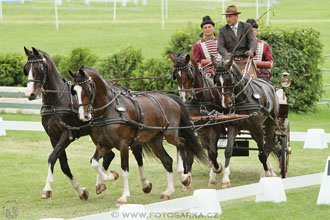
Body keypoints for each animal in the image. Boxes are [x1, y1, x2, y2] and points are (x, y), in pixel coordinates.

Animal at [22, 47, 124, 200]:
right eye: (26, 68)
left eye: (39, 68)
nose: (30, 94)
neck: (56, 101)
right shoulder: (53, 137)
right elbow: (63, 164)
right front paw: (81, 191)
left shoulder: (68, 134)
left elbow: (52, 157)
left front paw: (47, 188)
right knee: (109, 155)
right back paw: (101, 183)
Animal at [71, 66, 208, 206]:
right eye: (74, 91)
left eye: (88, 88)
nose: (84, 115)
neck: (109, 110)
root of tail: (170, 98)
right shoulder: (103, 145)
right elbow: (94, 163)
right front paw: (111, 176)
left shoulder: (123, 145)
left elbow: (124, 170)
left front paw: (124, 196)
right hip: (154, 141)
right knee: (167, 160)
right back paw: (168, 191)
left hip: (170, 134)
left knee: (181, 142)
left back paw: (184, 177)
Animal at [169, 52, 226, 187]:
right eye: (176, 76)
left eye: (188, 74)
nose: (185, 98)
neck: (199, 99)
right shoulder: (191, 126)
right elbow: (189, 154)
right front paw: (188, 177)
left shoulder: (214, 126)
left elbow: (213, 152)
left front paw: (217, 168)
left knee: (211, 149)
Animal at [211, 55, 278, 188]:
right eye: (217, 81)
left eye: (229, 80)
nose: (226, 103)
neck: (244, 98)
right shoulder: (233, 127)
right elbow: (228, 151)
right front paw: (225, 179)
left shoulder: (258, 127)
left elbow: (262, 153)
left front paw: (266, 174)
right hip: (252, 131)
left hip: (270, 124)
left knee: (267, 146)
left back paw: (268, 171)